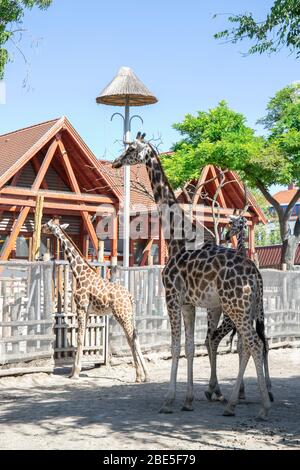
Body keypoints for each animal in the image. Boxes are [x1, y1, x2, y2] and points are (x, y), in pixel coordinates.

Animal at [41, 218, 149, 384]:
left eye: (48, 224)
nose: (41, 228)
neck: (79, 273)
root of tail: (130, 297)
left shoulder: (81, 306)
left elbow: (79, 339)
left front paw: (75, 373)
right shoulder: (86, 311)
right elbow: (83, 337)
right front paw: (72, 371)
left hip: (121, 314)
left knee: (131, 338)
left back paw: (138, 375)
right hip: (130, 314)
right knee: (136, 337)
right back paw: (147, 375)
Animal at [112, 134, 272, 420]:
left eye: (131, 149)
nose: (117, 162)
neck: (177, 238)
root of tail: (256, 276)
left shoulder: (172, 297)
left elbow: (175, 346)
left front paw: (168, 400)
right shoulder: (189, 304)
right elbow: (189, 346)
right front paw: (187, 400)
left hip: (235, 307)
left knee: (253, 343)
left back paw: (261, 407)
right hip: (249, 308)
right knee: (249, 344)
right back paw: (234, 403)